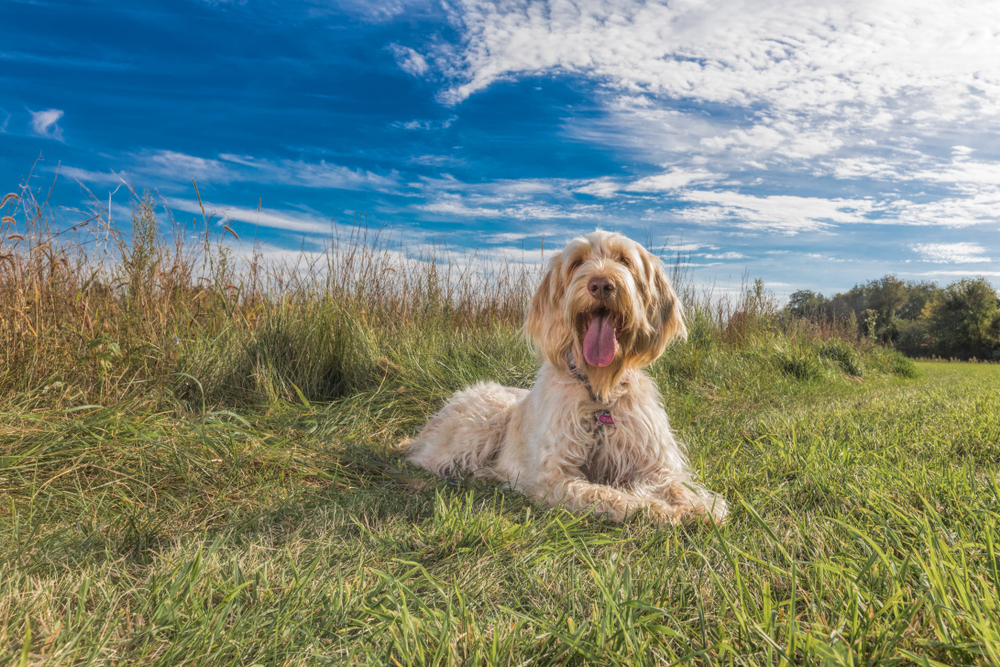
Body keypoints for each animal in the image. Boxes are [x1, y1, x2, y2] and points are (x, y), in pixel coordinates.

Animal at [398, 232, 728, 524]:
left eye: (624, 260)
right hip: (484, 422)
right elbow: (608, 495)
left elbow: (677, 485)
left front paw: (700, 506)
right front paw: (658, 509)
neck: (599, 394)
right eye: (577, 262)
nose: (601, 284)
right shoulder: (554, 477)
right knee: (427, 459)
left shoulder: (656, 463)